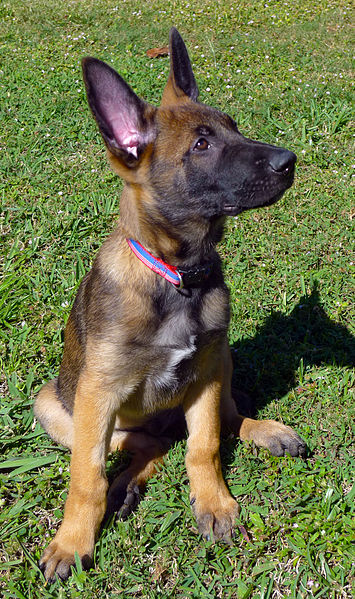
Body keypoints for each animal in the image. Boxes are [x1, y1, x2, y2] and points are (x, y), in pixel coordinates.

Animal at [34, 28, 306, 580]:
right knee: (141, 444)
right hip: (54, 405)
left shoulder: (204, 372)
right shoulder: (97, 393)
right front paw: (73, 541)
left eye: (233, 128)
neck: (177, 278)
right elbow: (86, 476)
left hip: (223, 358)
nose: (288, 161)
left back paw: (262, 431)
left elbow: (204, 444)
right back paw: (125, 484)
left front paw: (214, 503)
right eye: (202, 145)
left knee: (218, 420)